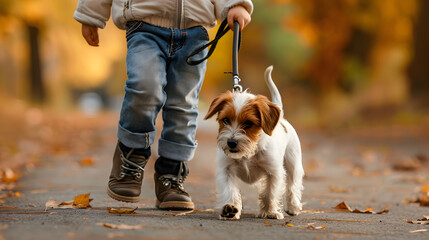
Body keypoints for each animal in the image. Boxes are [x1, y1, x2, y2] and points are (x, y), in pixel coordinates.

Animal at [204, 65, 304, 219]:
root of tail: (281, 117)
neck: (249, 152)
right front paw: (229, 209)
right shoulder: (225, 170)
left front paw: (270, 211)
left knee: (293, 186)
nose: (231, 142)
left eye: (248, 123)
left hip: (293, 164)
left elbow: (270, 193)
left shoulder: (274, 172)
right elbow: (230, 190)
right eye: (225, 120)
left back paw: (293, 207)